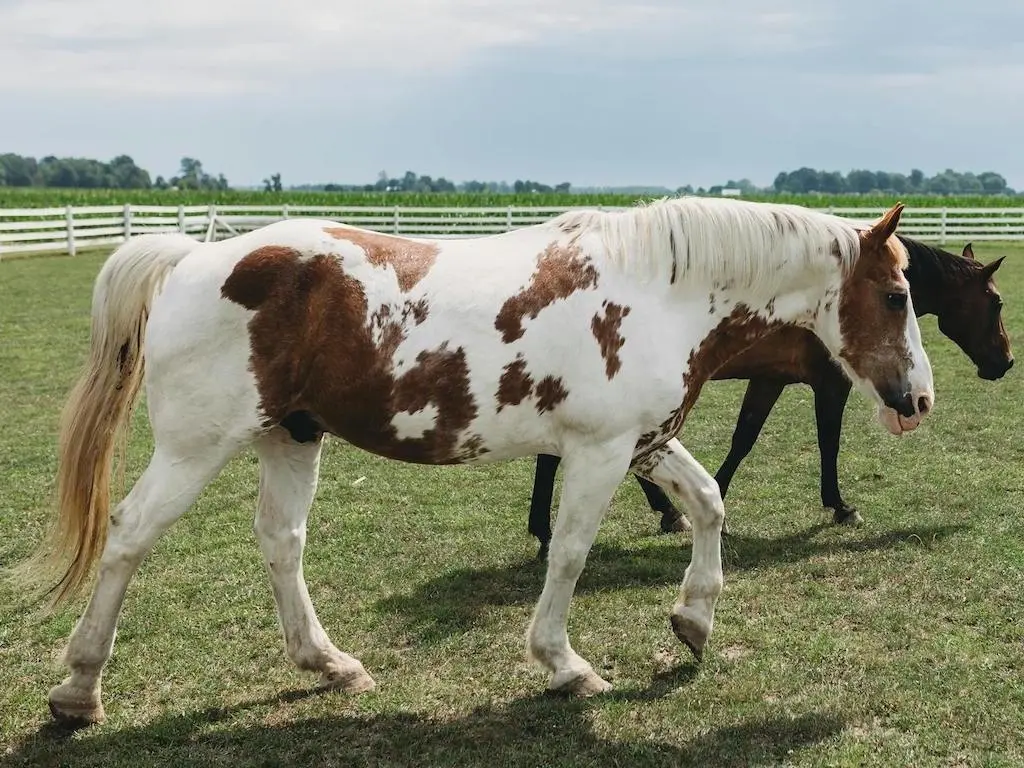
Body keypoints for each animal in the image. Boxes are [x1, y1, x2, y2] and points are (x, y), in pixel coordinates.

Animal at [24, 198, 937, 729]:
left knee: (282, 544)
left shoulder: (643, 441)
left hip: (291, 437)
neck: (659, 289)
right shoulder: (600, 451)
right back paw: (78, 689)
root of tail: (190, 260)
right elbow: (569, 554)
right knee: (129, 536)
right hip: (195, 448)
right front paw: (564, 665)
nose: (918, 399)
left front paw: (694, 621)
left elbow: (710, 503)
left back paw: (328, 664)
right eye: (897, 296)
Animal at [528, 237, 1015, 557]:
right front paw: (840, 506)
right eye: (996, 303)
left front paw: (718, 503)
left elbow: (744, 439)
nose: (1006, 362)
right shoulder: (831, 385)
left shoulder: (769, 381)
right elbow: (827, 442)